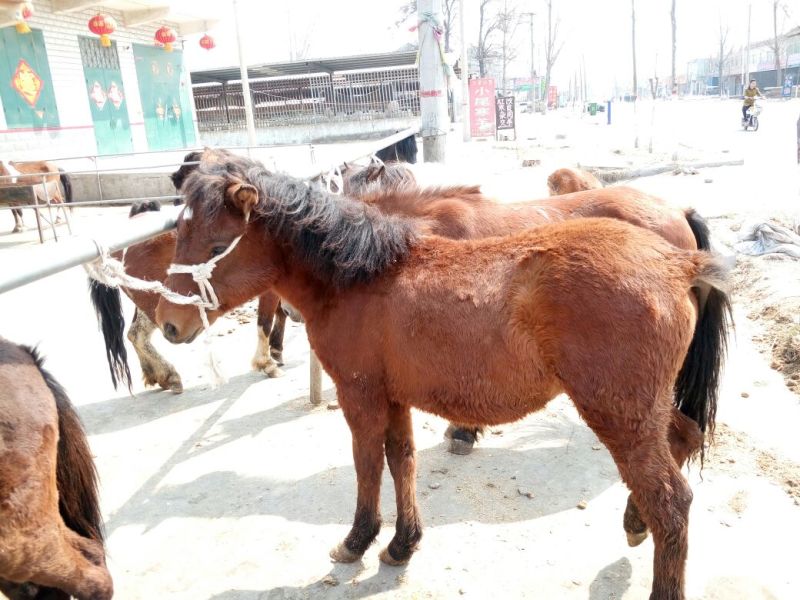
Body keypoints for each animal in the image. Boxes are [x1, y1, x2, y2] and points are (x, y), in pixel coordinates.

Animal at [89, 149, 291, 393]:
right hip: (160, 304)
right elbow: (266, 320)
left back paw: (159, 374)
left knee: (134, 333)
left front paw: (276, 350)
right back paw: (167, 374)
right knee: (139, 334)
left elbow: (280, 313)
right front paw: (267, 361)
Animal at [156, 158, 731, 599]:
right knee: (684, 439)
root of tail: (677, 262)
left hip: (617, 413)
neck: (362, 276)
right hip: (642, 409)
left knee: (671, 502)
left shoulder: (360, 395)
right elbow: (401, 460)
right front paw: (401, 544)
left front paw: (357, 542)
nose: (169, 324)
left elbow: (367, 466)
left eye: (215, 247)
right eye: (178, 234)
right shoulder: (394, 397)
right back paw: (634, 523)